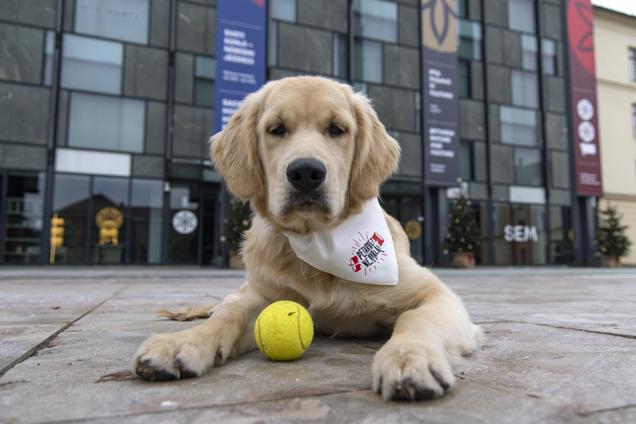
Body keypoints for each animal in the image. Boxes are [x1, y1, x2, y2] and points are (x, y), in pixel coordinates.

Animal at [134, 75, 482, 400]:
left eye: (337, 129)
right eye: (276, 129)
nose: (305, 173)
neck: (318, 240)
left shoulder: (434, 293)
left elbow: (416, 318)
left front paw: (410, 356)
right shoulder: (263, 296)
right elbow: (229, 316)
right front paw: (184, 342)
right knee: (226, 303)